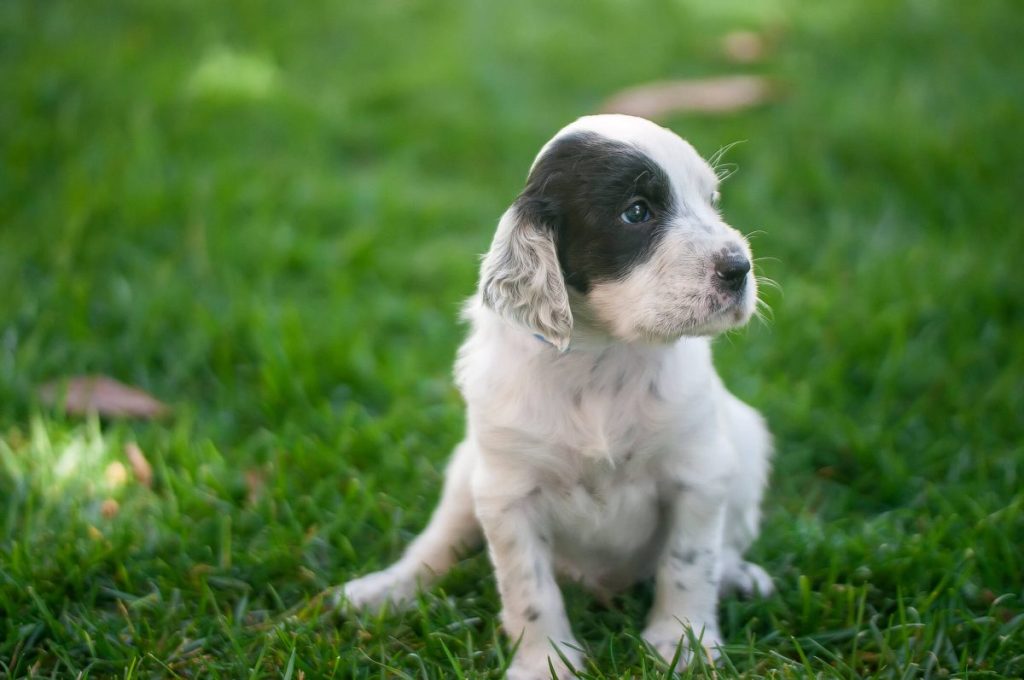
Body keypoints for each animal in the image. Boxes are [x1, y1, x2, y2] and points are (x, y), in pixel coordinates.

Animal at [339, 114, 770, 675]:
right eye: (637, 212)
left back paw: (740, 577)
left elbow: (689, 564)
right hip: (466, 470)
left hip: (747, 443)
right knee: (439, 543)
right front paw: (545, 663)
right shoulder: (507, 494)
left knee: (728, 544)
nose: (739, 269)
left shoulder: (697, 471)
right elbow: (529, 589)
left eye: (712, 201)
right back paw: (386, 590)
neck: (602, 358)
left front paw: (682, 643)